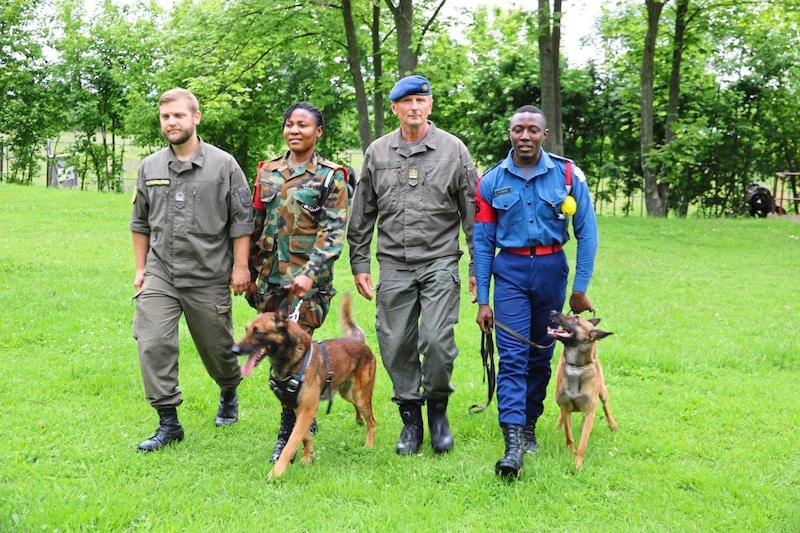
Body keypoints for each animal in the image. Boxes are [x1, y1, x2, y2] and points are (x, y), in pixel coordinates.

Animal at [233, 294, 376, 480]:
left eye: (257, 332)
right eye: (247, 330)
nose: (234, 350)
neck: (295, 361)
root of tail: (359, 341)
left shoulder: (306, 411)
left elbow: (290, 444)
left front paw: (276, 473)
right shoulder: (297, 408)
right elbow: (305, 437)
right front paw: (308, 457)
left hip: (359, 395)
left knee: (372, 421)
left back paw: (369, 444)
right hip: (347, 392)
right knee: (358, 410)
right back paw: (358, 420)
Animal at [552, 310, 620, 468]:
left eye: (576, 318)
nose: (552, 312)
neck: (576, 368)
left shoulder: (589, 412)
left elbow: (583, 441)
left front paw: (577, 464)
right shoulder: (565, 406)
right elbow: (569, 434)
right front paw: (570, 452)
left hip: (602, 391)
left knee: (605, 405)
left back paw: (612, 424)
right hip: (558, 399)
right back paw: (558, 425)